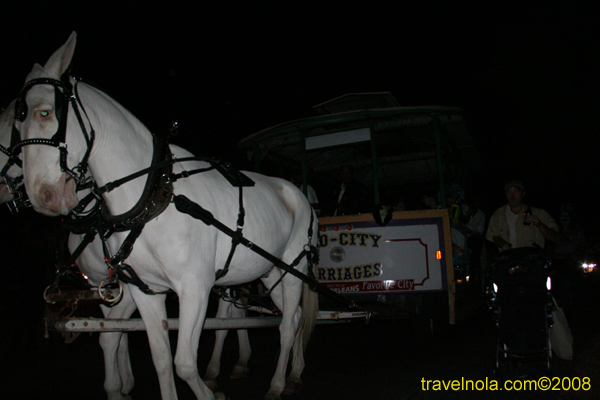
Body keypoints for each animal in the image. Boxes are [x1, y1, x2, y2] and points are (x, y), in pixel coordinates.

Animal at [1, 99, 258, 396]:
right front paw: (122, 384)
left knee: (228, 316)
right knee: (236, 309)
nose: (5, 191)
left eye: (11, 131)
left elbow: (117, 335)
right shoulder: (103, 287)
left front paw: (121, 385)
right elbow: (114, 334)